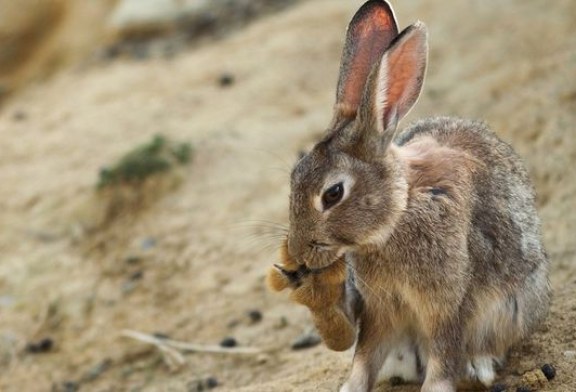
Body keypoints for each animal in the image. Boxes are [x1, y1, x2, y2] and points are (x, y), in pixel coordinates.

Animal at [268, 0, 552, 392]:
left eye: (333, 193)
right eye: (294, 176)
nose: (298, 252)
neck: (398, 211)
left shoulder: (447, 306)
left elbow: (443, 358)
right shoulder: (380, 309)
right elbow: (365, 357)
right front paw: (350, 386)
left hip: (516, 305)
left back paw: (479, 366)